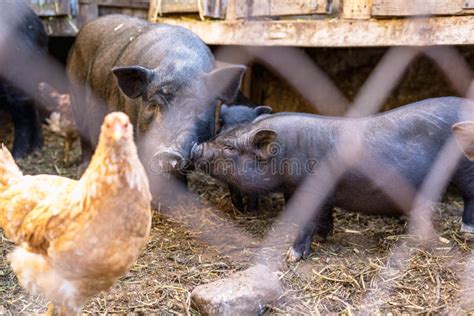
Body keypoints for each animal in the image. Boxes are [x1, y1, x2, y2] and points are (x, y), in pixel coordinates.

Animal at [191, 97, 474, 260]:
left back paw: (467, 230)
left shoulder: (311, 188)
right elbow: (325, 215)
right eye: (220, 133)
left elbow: (307, 221)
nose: (196, 147)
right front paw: (323, 237)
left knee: (469, 197)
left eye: (230, 148)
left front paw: (292, 256)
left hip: (465, 167)